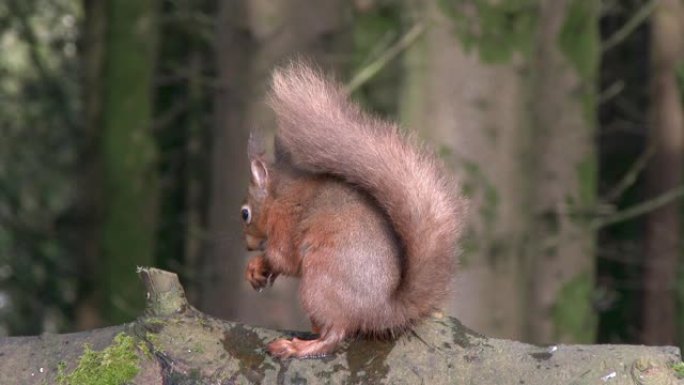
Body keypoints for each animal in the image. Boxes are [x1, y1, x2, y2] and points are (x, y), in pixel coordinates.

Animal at [238, 61, 468, 358]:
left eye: (245, 213)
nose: (248, 246)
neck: (282, 192)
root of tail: (382, 312)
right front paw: (258, 271)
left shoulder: (283, 224)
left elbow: (282, 258)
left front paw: (257, 265)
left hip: (320, 281)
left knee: (335, 335)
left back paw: (297, 347)